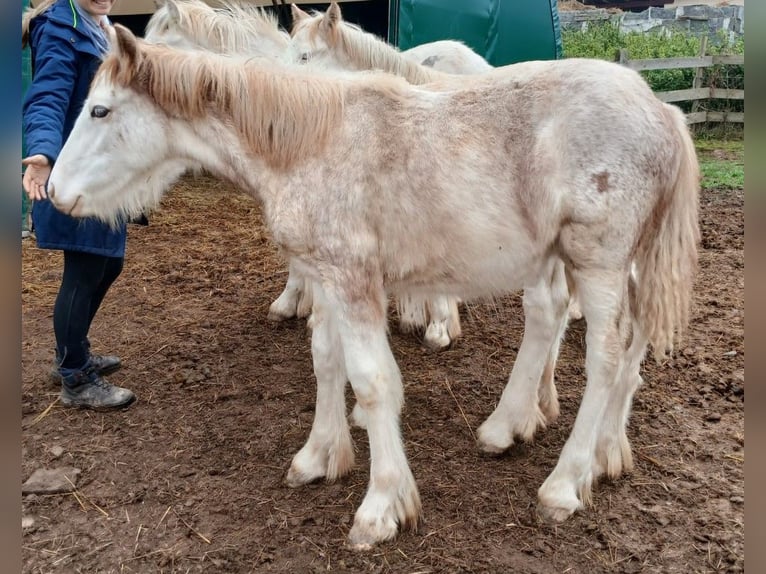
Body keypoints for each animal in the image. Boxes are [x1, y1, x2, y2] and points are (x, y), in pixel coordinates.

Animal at [45, 25, 700, 548]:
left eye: (100, 110)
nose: (53, 191)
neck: (309, 143)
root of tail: (664, 112)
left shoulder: (353, 278)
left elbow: (373, 380)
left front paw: (382, 506)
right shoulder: (328, 277)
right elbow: (326, 360)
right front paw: (320, 456)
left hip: (601, 263)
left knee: (606, 358)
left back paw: (565, 483)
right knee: (606, 338)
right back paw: (584, 448)